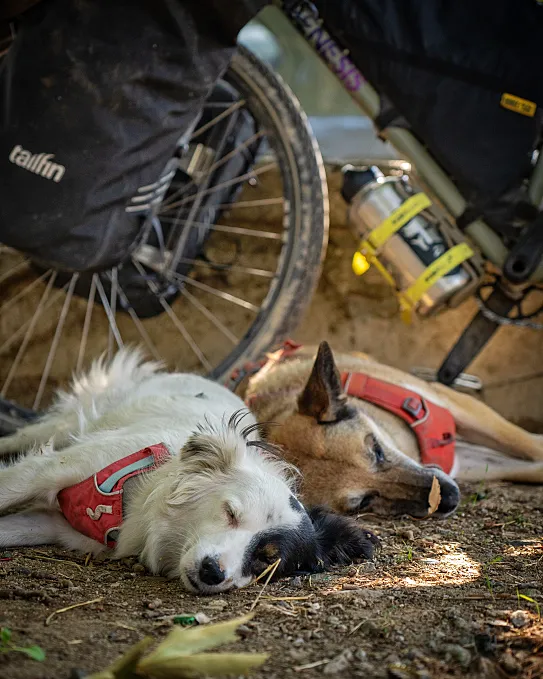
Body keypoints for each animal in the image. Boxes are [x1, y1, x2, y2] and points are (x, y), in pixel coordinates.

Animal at [0, 350, 376, 596]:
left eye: (267, 561)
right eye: (230, 513)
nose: (212, 572)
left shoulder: (55, 526)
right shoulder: (49, 471)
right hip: (67, 423)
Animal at [237, 342, 543, 516]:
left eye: (377, 451)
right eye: (364, 502)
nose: (451, 498)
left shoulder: (458, 405)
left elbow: (532, 447)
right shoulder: (467, 461)